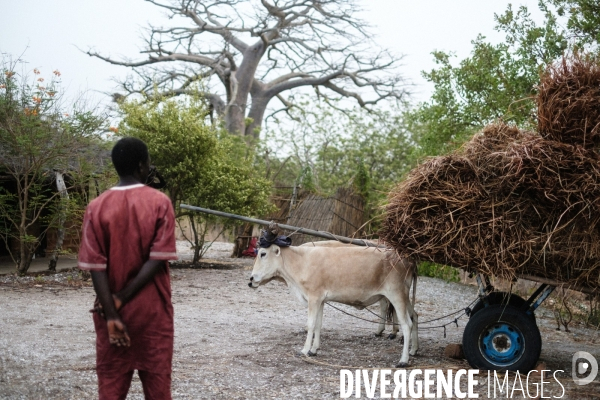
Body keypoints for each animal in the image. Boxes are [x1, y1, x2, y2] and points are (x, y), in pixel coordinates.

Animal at [248, 244, 418, 366]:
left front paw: (304, 350)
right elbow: (318, 324)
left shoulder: (313, 297)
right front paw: (314, 350)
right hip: (404, 297)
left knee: (406, 324)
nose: (250, 279)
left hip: (396, 294)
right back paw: (413, 350)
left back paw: (403, 360)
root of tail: (408, 260)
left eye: (263, 253)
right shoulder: (321, 300)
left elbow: (310, 325)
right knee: (414, 316)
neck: (302, 261)